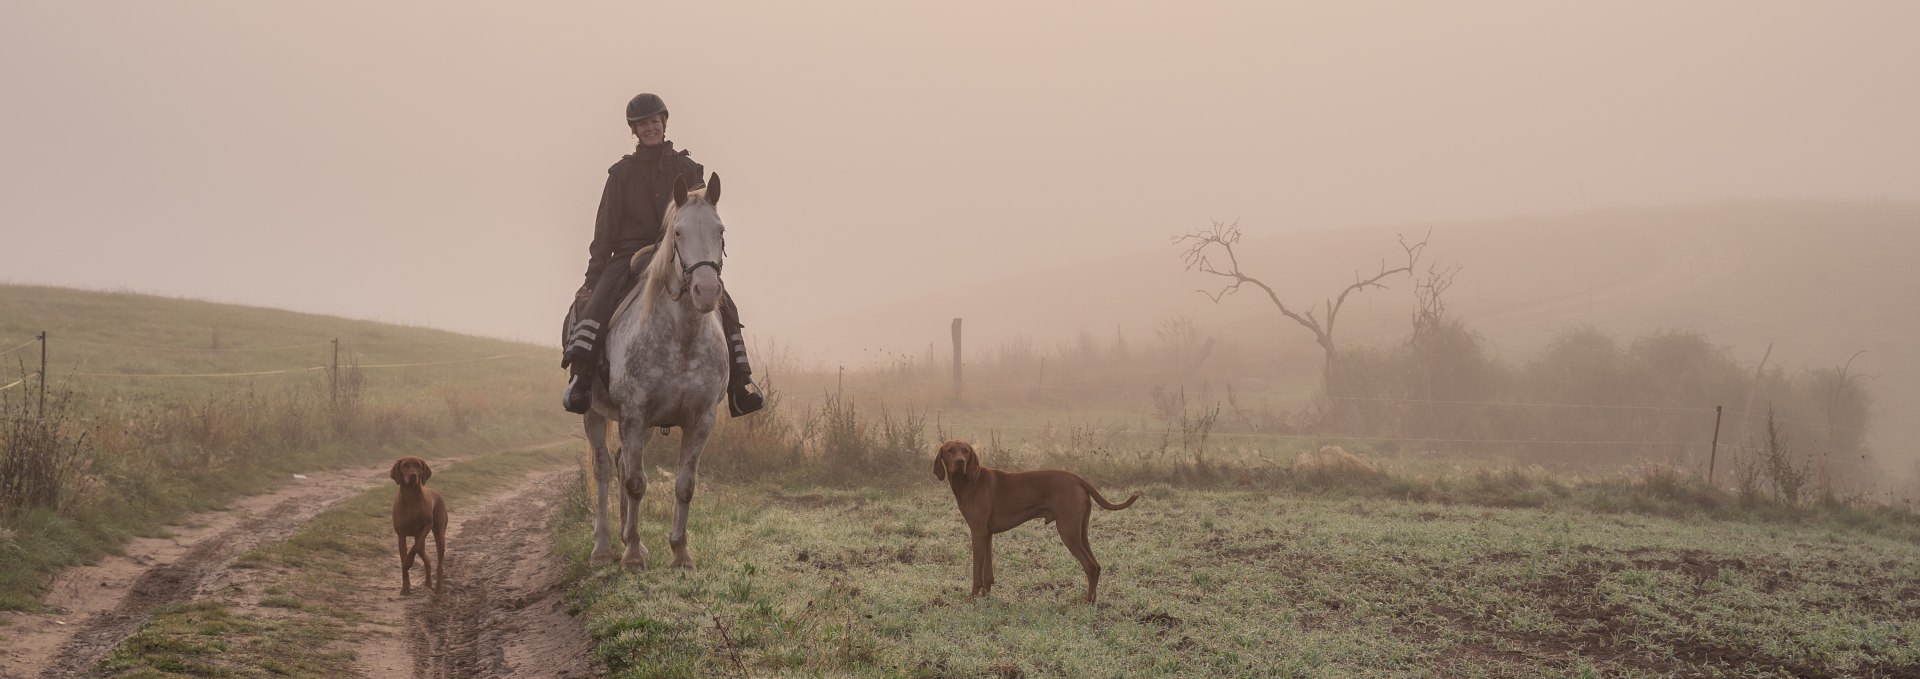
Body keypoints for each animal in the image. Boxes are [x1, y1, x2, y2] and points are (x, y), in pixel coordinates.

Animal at [389, 456, 449, 594]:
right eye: (405, 465)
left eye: (418, 466)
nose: (413, 475)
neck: (411, 496)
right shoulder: (401, 536)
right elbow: (404, 557)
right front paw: (405, 587)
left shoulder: (426, 526)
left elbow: (414, 548)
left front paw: (408, 563)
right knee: (427, 559)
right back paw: (428, 583)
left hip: (439, 535)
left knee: (438, 563)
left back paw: (438, 588)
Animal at [576, 172, 725, 571]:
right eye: (678, 232)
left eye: (720, 230)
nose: (706, 291)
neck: (682, 340)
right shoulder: (633, 414)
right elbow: (636, 484)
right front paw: (630, 557)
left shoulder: (700, 420)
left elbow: (684, 485)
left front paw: (680, 553)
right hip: (594, 413)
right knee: (604, 469)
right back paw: (604, 547)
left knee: (622, 464)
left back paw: (630, 539)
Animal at [933, 441, 1136, 606]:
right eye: (950, 450)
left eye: (966, 451)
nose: (960, 461)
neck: (970, 481)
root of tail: (1077, 478)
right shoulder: (986, 534)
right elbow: (987, 572)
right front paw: (986, 596)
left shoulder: (977, 533)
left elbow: (976, 571)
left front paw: (973, 597)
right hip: (1080, 532)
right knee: (1097, 565)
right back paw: (1093, 599)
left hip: (1067, 532)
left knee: (1090, 566)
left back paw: (1087, 602)